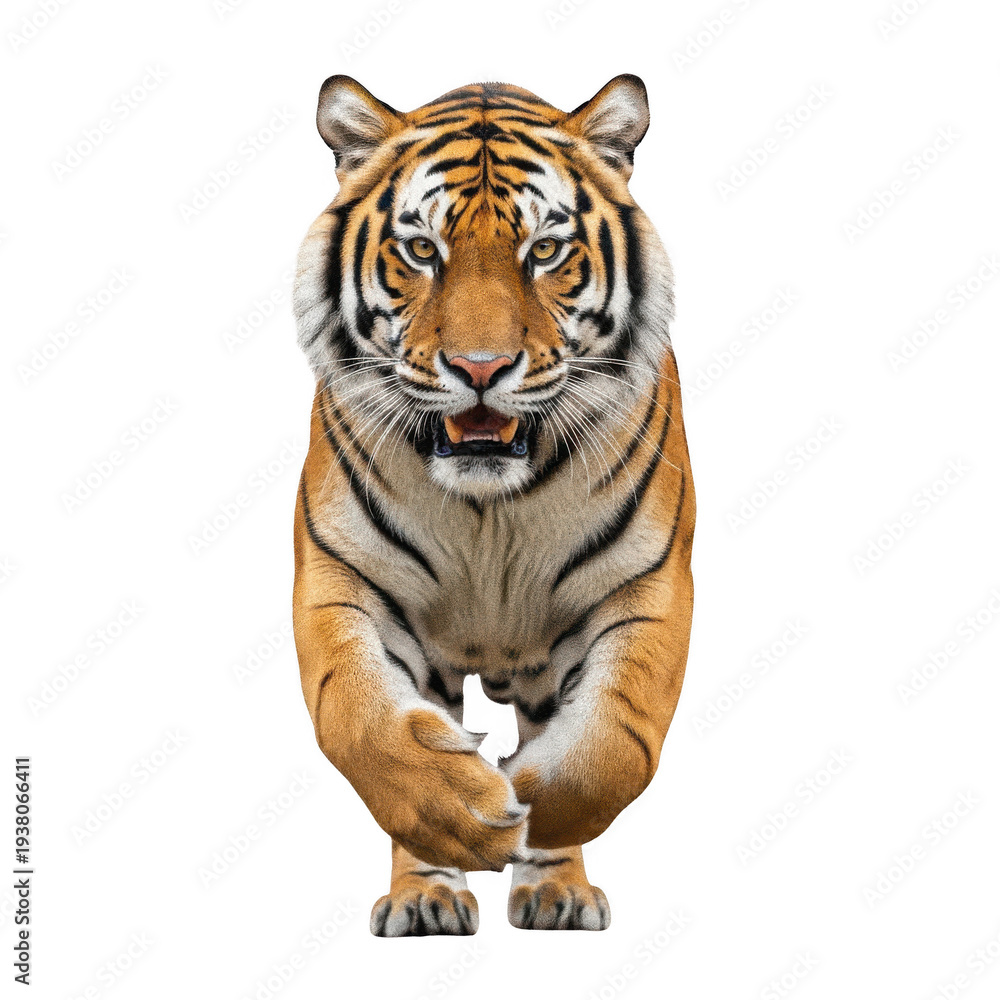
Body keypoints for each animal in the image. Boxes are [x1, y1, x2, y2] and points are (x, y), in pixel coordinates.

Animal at [292, 73, 695, 936]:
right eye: (421, 250)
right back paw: (427, 900)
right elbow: (360, 720)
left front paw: (526, 799)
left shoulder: (645, 587)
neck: (489, 511)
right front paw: (463, 811)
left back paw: (556, 892)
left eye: (544, 250)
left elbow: (614, 744)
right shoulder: (342, 580)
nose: (481, 368)